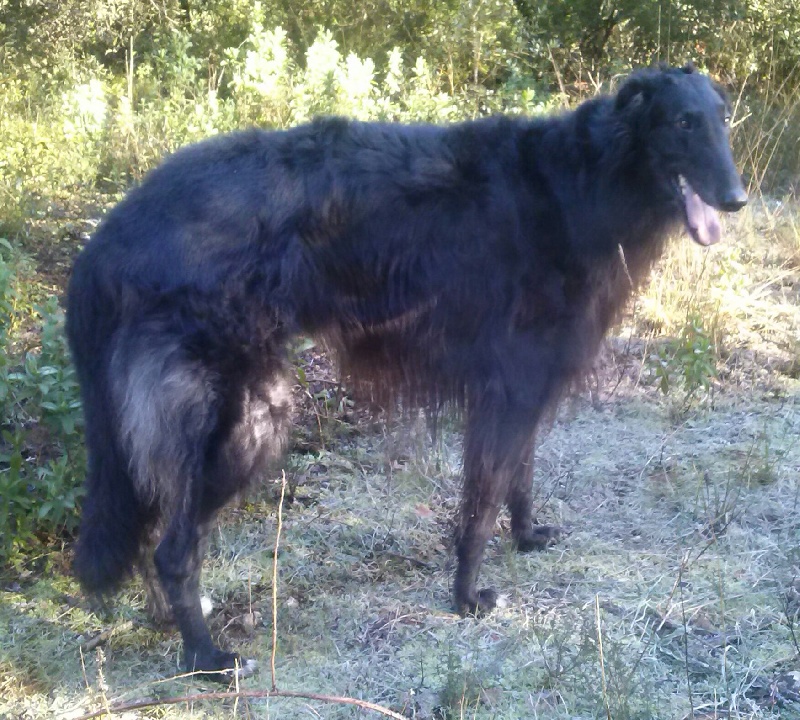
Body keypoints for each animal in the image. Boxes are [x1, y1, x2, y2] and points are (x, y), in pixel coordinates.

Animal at [67, 63, 747, 678]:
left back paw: (168, 623)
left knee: (154, 529)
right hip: (250, 416)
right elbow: (483, 501)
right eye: (683, 123)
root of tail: (106, 240)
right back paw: (205, 658)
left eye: (723, 117)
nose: (736, 200)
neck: (581, 180)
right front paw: (467, 598)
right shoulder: (508, 388)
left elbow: (521, 477)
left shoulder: (526, 387)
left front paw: (527, 539)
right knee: (174, 548)